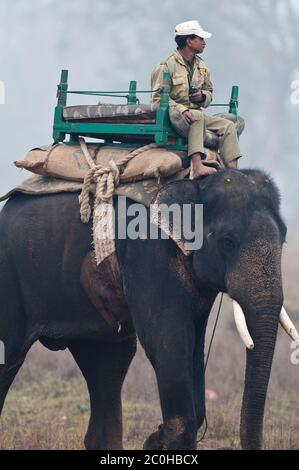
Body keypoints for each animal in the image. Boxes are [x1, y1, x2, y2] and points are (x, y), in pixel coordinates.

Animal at [0, 167, 298, 450]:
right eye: (227, 241)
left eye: (284, 239)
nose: (153, 434)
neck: (196, 184)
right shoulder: (149, 254)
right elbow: (167, 344)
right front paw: (160, 439)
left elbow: (194, 348)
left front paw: (156, 439)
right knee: (10, 355)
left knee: (109, 362)